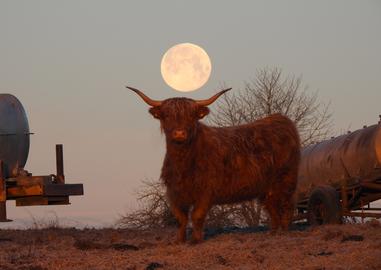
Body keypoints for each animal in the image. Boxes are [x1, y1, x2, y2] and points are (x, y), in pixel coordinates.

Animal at [127, 87, 300, 245]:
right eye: (167, 115)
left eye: (191, 116)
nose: (179, 133)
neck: (182, 162)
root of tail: (280, 119)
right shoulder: (174, 192)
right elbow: (181, 218)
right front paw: (179, 240)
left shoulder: (206, 190)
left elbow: (197, 215)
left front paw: (195, 240)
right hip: (265, 188)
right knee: (272, 207)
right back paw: (272, 232)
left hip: (286, 179)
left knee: (287, 205)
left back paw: (284, 232)